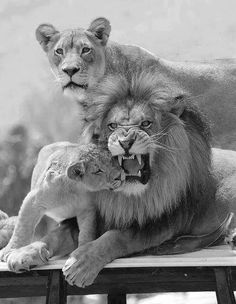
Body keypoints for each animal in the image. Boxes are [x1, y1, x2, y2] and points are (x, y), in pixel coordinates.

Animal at [0, 142, 124, 274]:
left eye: (112, 161)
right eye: (98, 171)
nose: (120, 176)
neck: (73, 188)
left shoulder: (87, 210)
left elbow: (86, 232)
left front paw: (82, 250)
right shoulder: (33, 201)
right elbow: (22, 229)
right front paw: (10, 251)